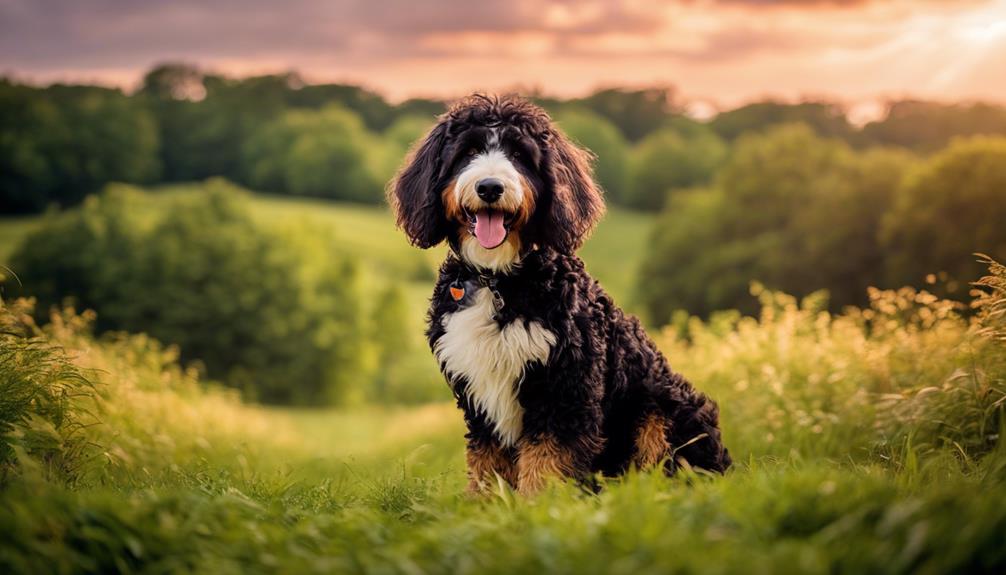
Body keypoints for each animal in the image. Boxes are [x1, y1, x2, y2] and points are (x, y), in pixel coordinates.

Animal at [386, 94, 732, 494]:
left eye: (520, 155)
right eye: (467, 152)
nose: (489, 187)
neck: (498, 280)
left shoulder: (565, 388)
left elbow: (547, 460)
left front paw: (539, 504)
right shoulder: (478, 394)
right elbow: (487, 462)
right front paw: (486, 504)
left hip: (664, 409)